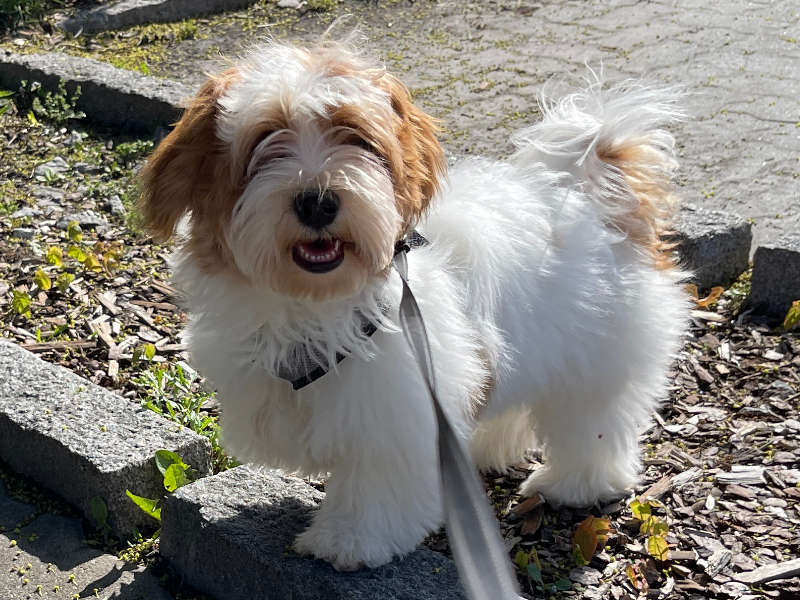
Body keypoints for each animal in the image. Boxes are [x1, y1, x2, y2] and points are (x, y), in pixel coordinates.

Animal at [138, 42, 688, 572]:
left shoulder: (396, 407)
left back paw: (575, 484)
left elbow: (377, 479)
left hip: (597, 351)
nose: (318, 201)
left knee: (593, 418)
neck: (313, 303)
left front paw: (350, 539)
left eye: (357, 139)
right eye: (265, 140)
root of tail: (598, 192)